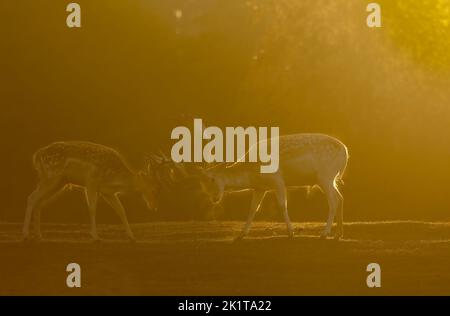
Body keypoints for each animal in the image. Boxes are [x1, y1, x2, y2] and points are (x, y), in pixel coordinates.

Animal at [23, 141, 174, 242]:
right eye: (156, 188)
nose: (154, 207)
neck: (115, 178)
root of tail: (36, 156)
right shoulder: (91, 182)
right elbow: (92, 208)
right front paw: (95, 236)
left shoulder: (108, 192)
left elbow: (121, 210)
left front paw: (131, 236)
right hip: (51, 176)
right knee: (31, 198)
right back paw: (25, 235)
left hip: (59, 182)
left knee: (39, 202)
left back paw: (39, 235)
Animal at [190, 134, 348, 242]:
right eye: (202, 184)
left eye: (212, 179)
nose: (215, 198)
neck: (251, 174)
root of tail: (346, 152)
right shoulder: (260, 188)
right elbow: (252, 209)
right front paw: (241, 234)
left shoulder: (277, 180)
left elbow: (282, 205)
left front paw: (291, 233)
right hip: (330, 179)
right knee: (340, 198)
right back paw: (338, 234)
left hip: (325, 176)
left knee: (333, 201)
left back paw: (324, 234)